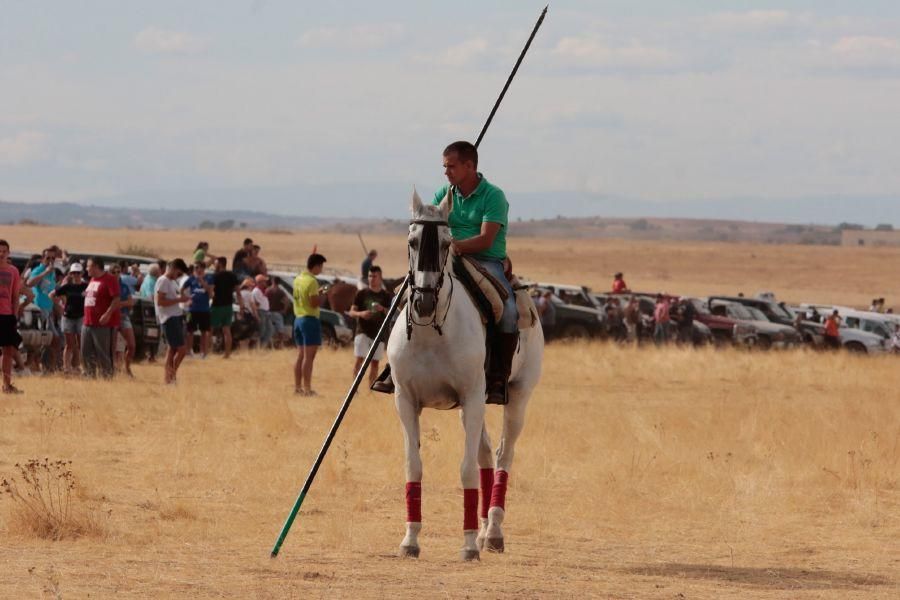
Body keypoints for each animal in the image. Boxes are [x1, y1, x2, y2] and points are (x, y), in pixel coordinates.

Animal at [384, 190, 540, 560]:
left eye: (446, 242)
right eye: (411, 240)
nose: (424, 302)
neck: (432, 332)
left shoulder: (471, 397)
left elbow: (466, 468)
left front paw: (468, 545)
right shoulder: (405, 401)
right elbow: (414, 466)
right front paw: (410, 540)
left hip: (516, 396)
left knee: (502, 455)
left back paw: (492, 533)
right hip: (477, 405)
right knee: (485, 454)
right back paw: (484, 531)